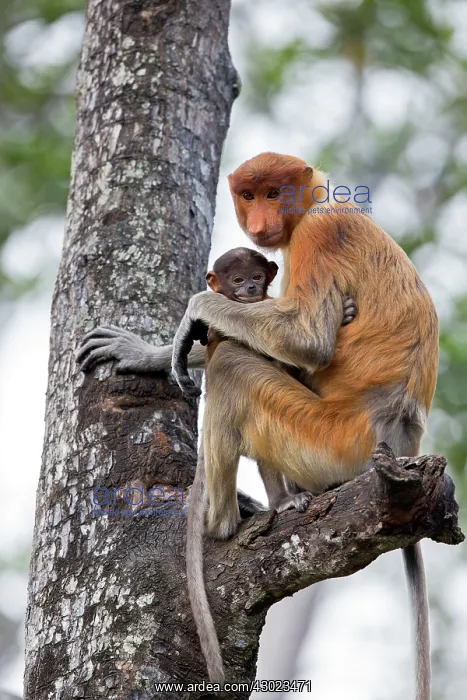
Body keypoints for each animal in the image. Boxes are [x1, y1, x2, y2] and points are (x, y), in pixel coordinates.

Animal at [170, 152, 438, 698]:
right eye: (248, 195)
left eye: (274, 193)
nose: (259, 221)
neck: (318, 200)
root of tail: (401, 446)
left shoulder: (318, 236)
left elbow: (306, 342)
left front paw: (194, 315)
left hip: (325, 441)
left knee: (233, 364)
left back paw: (220, 522)